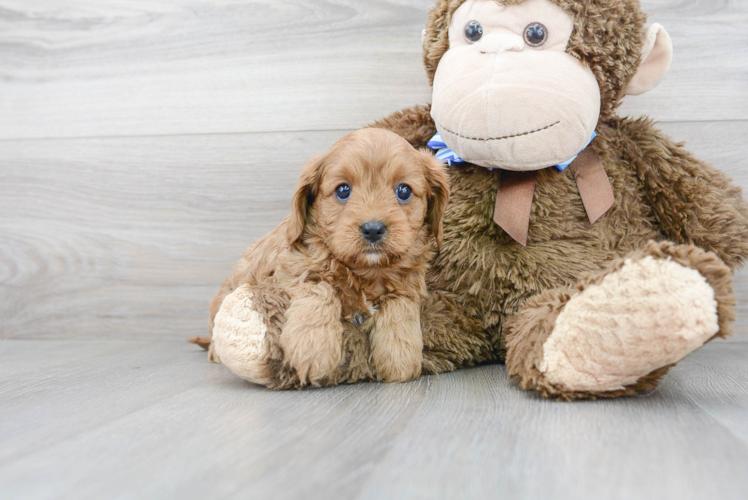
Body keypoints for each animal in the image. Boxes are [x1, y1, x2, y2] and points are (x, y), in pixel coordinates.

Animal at [203, 128, 450, 386]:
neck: (365, 270)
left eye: (404, 191)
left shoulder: (410, 283)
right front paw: (312, 347)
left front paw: (400, 355)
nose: (373, 229)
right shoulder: (288, 273)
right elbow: (320, 287)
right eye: (343, 190)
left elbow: (400, 305)